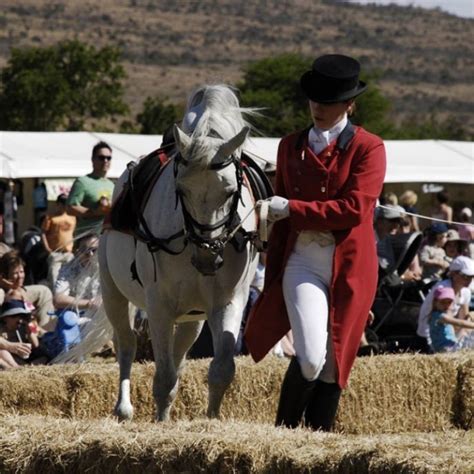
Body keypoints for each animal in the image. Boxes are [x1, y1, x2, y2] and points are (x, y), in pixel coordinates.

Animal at [98, 84, 258, 418]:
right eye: (181, 190)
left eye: (230, 191)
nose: (208, 255)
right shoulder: (158, 305)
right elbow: (163, 377)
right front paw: (160, 421)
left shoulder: (228, 302)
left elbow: (221, 369)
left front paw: (211, 420)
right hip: (112, 293)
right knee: (127, 344)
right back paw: (123, 408)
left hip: (191, 317)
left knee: (178, 354)